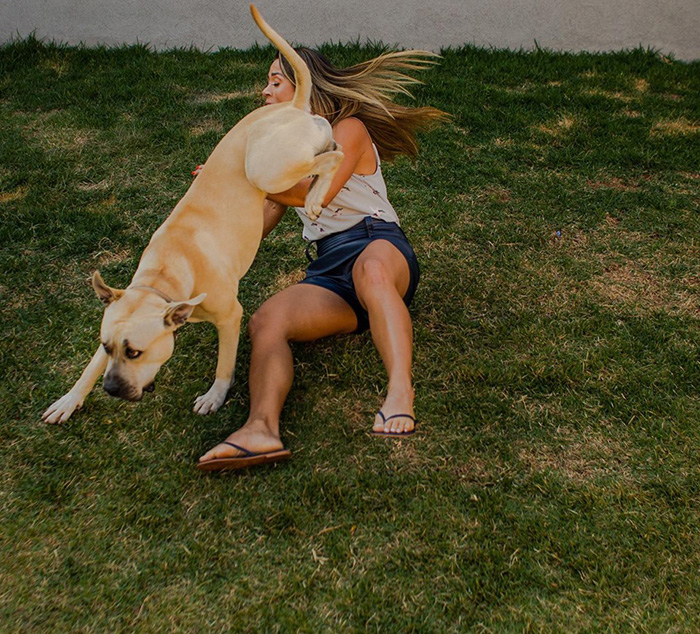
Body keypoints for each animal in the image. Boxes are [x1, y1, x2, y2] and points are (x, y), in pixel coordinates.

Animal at [42, 4, 344, 422]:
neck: (164, 276)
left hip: (266, 169)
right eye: (107, 347)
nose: (111, 389)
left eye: (135, 351)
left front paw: (215, 396)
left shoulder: (231, 317)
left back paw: (316, 196)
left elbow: (225, 365)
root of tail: (292, 105)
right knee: (330, 145)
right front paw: (70, 399)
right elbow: (87, 368)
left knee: (335, 156)